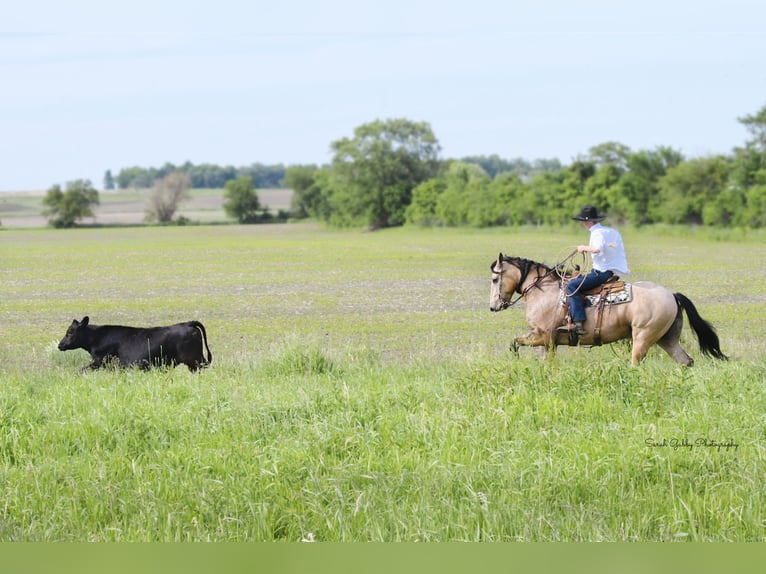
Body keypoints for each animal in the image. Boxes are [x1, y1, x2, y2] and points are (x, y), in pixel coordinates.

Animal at [56, 318, 213, 372]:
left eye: (70, 332)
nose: (59, 345)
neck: (97, 337)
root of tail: (188, 323)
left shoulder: (99, 361)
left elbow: (80, 370)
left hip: (195, 361)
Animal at [488, 253, 728, 366]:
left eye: (494, 279)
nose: (493, 306)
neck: (543, 291)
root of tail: (671, 294)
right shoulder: (545, 341)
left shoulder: (543, 337)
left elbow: (515, 343)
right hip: (667, 339)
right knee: (685, 361)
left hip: (643, 337)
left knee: (636, 362)